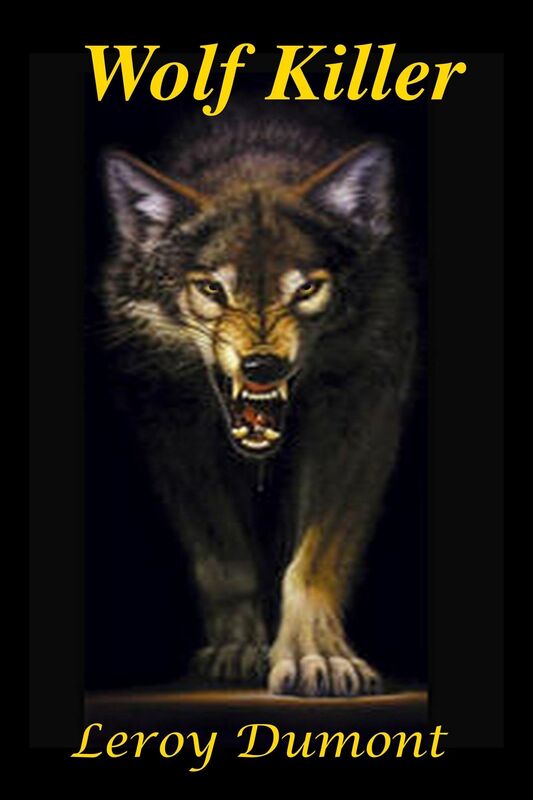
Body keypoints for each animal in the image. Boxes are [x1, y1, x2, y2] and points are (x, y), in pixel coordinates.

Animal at [99, 115, 416, 697]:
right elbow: (224, 557)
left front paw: (319, 656)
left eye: (307, 289)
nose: (263, 366)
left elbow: (315, 558)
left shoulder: (363, 412)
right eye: (211, 288)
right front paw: (239, 648)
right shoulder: (168, 426)